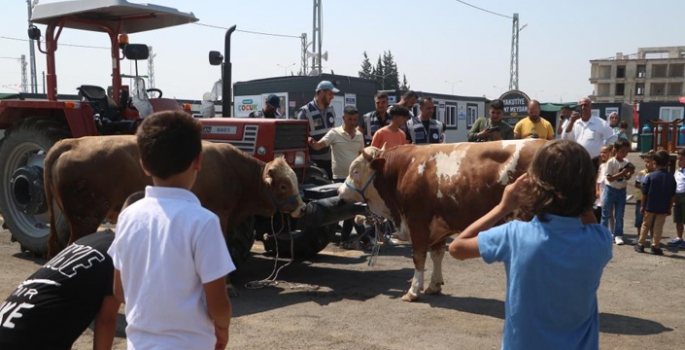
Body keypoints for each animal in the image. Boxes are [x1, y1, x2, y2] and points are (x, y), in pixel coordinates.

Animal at [44, 135, 306, 258]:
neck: (235, 171)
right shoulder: (219, 215)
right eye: (284, 186)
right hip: (85, 220)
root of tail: (70, 143)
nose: (302, 207)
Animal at [336, 139, 544, 300]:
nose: (339, 192)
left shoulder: (417, 220)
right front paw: (434, 286)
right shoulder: (440, 224)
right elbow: (437, 254)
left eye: (355, 171)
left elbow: (418, 256)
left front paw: (413, 291)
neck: (404, 168)